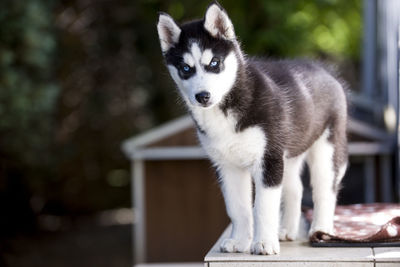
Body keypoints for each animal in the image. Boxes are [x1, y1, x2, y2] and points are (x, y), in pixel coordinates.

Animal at [156, 1, 346, 256]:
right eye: (186, 68)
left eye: (214, 63)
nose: (202, 96)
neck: (226, 108)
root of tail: (324, 70)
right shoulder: (227, 166)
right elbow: (238, 208)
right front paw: (239, 241)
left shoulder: (268, 160)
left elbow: (262, 207)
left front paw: (263, 243)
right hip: (289, 152)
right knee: (295, 188)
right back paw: (287, 230)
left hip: (326, 148)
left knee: (325, 190)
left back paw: (321, 230)